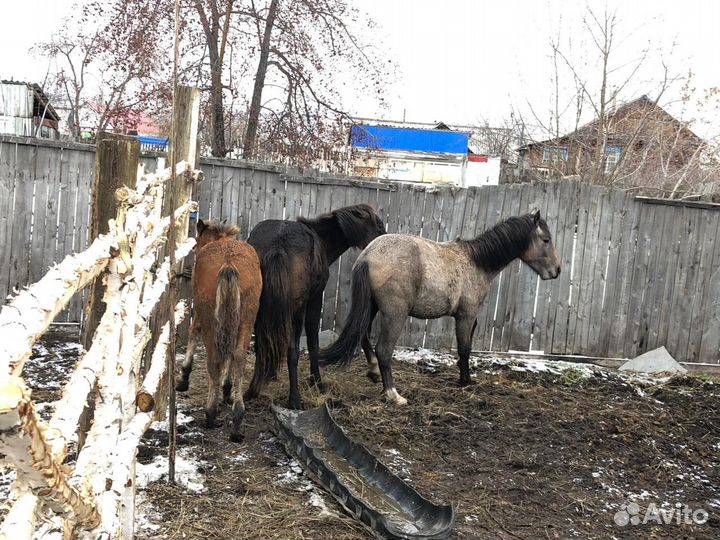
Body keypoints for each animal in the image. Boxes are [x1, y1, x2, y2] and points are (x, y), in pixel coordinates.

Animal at [181, 219, 262, 441]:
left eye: (197, 242)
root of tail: (228, 262)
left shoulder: (200, 315)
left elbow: (193, 330)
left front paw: (184, 376)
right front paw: (227, 389)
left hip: (212, 319)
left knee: (215, 358)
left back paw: (210, 412)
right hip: (246, 319)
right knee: (238, 355)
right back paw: (237, 417)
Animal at [243, 203, 386, 410]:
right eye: (379, 226)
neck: (322, 240)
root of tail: (278, 244)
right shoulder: (315, 299)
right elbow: (313, 342)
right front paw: (317, 382)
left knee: (261, 344)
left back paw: (252, 390)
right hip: (296, 310)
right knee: (292, 350)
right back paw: (294, 399)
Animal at [318, 210, 561, 406]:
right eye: (545, 239)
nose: (557, 271)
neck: (476, 261)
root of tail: (368, 256)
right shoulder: (466, 315)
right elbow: (464, 348)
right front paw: (465, 380)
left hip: (372, 308)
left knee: (364, 337)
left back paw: (374, 371)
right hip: (395, 315)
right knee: (384, 351)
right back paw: (393, 394)